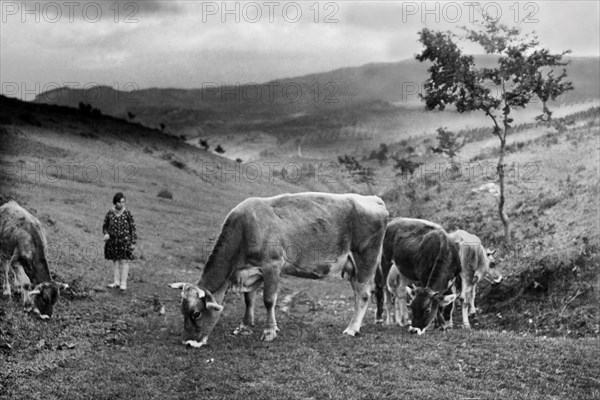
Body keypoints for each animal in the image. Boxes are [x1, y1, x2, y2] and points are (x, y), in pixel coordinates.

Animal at [168, 193, 390, 346]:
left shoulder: (272, 265)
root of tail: (373, 199)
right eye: (182, 311)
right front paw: (245, 326)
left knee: (363, 295)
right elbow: (249, 299)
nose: (187, 343)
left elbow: (268, 300)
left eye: (196, 313)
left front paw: (269, 332)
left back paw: (352, 328)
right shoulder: (251, 272)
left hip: (365, 261)